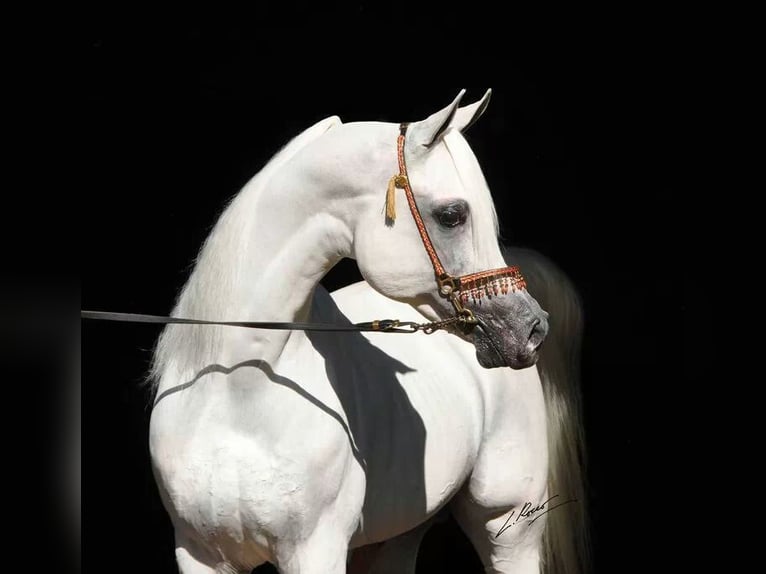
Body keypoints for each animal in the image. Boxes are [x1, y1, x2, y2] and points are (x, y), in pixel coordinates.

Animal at [152, 90, 592, 574]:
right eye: (452, 215)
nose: (530, 327)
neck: (237, 392)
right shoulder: (198, 553)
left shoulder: (315, 549)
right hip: (398, 535)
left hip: (508, 525)